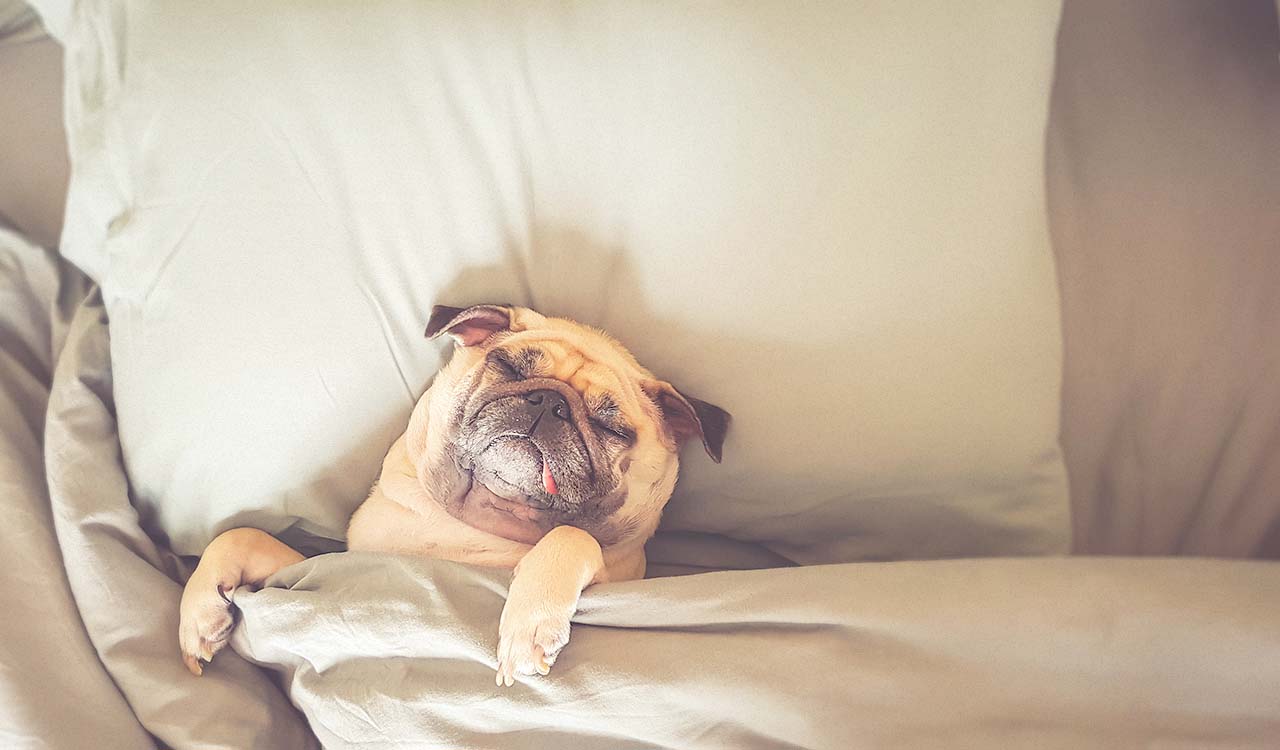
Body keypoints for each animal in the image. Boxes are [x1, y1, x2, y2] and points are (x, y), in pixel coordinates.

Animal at [177, 302, 732, 680]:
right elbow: (239, 536)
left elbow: (573, 537)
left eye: (609, 426)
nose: (548, 401)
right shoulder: (329, 565)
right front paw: (200, 611)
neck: (475, 525)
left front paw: (528, 623)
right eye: (508, 367)